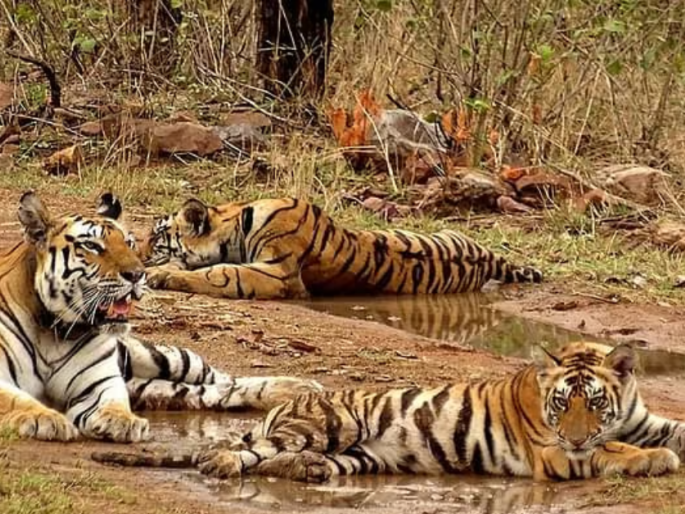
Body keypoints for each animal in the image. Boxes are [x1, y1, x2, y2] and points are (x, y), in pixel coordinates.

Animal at [0, 191, 322, 443]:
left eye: (128, 243)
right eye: (91, 246)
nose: (137, 274)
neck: (56, 331)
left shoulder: (100, 383)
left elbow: (113, 402)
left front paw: (121, 421)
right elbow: (17, 400)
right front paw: (47, 419)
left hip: (160, 357)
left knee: (223, 380)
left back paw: (302, 388)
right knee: (205, 392)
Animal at [139, 197, 542, 300]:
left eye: (157, 236)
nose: (137, 252)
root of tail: (487, 256)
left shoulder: (281, 273)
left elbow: (220, 272)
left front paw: (159, 274)